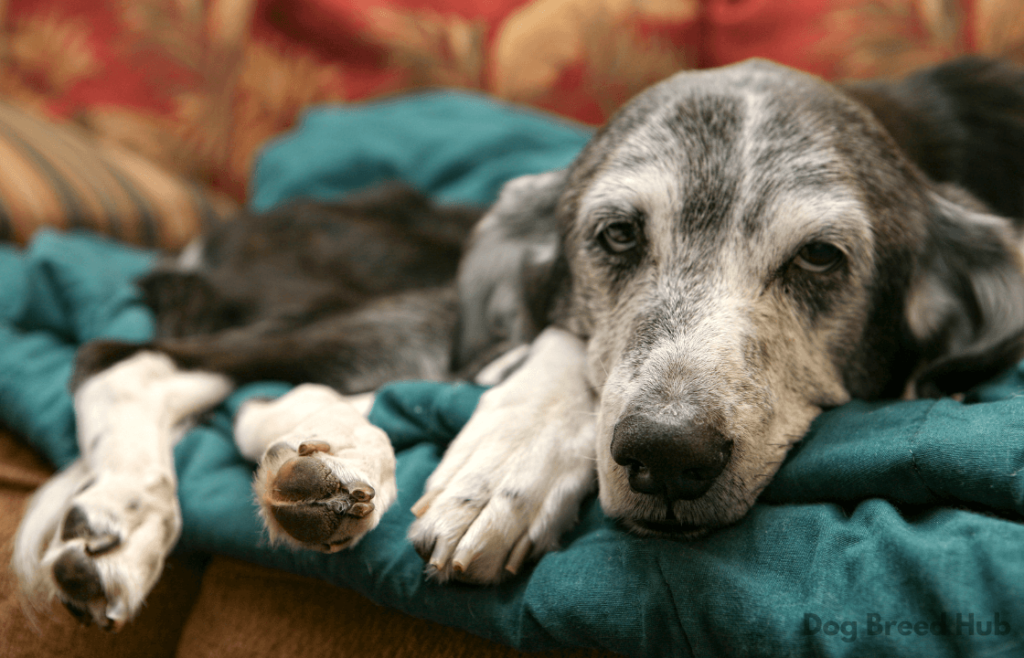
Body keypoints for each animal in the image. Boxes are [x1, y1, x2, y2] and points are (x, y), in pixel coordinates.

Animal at [12, 55, 1024, 626]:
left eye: (820, 257)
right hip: (416, 310)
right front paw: (507, 466)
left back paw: (320, 467)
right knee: (128, 361)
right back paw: (138, 514)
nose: (668, 456)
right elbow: (564, 351)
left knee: (249, 394)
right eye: (616, 235)